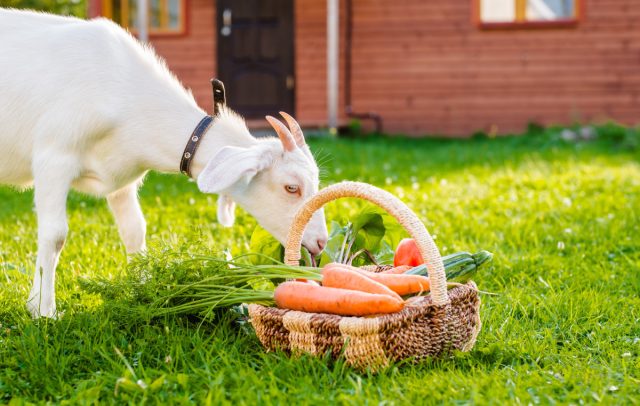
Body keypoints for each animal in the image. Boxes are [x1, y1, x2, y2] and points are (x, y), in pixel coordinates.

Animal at [0, 8, 328, 318]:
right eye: (291, 187)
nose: (322, 242)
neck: (125, 95)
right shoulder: (54, 158)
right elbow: (55, 235)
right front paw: (43, 310)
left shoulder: (122, 178)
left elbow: (135, 231)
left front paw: (144, 291)